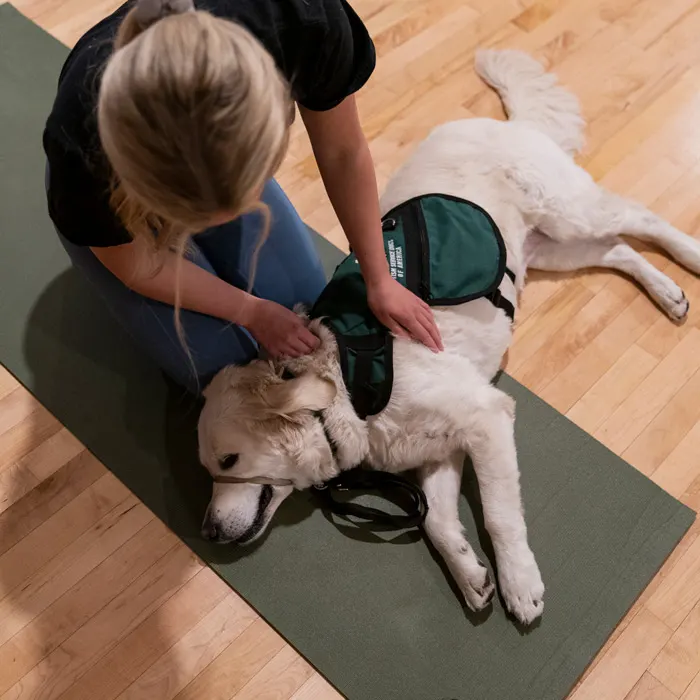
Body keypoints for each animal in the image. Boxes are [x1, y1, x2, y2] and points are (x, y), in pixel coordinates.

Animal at [194, 52, 696, 628]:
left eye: (228, 462)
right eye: (209, 467)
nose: (207, 532)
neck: (349, 386)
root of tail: (507, 123)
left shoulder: (487, 417)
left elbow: (500, 516)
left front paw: (519, 583)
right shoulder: (441, 446)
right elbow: (434, 519)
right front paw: (470, 574)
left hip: (570, 214)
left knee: (640, 218)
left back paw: (692, 257)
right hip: (547, 250)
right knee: (619, 250)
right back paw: (669, 293)